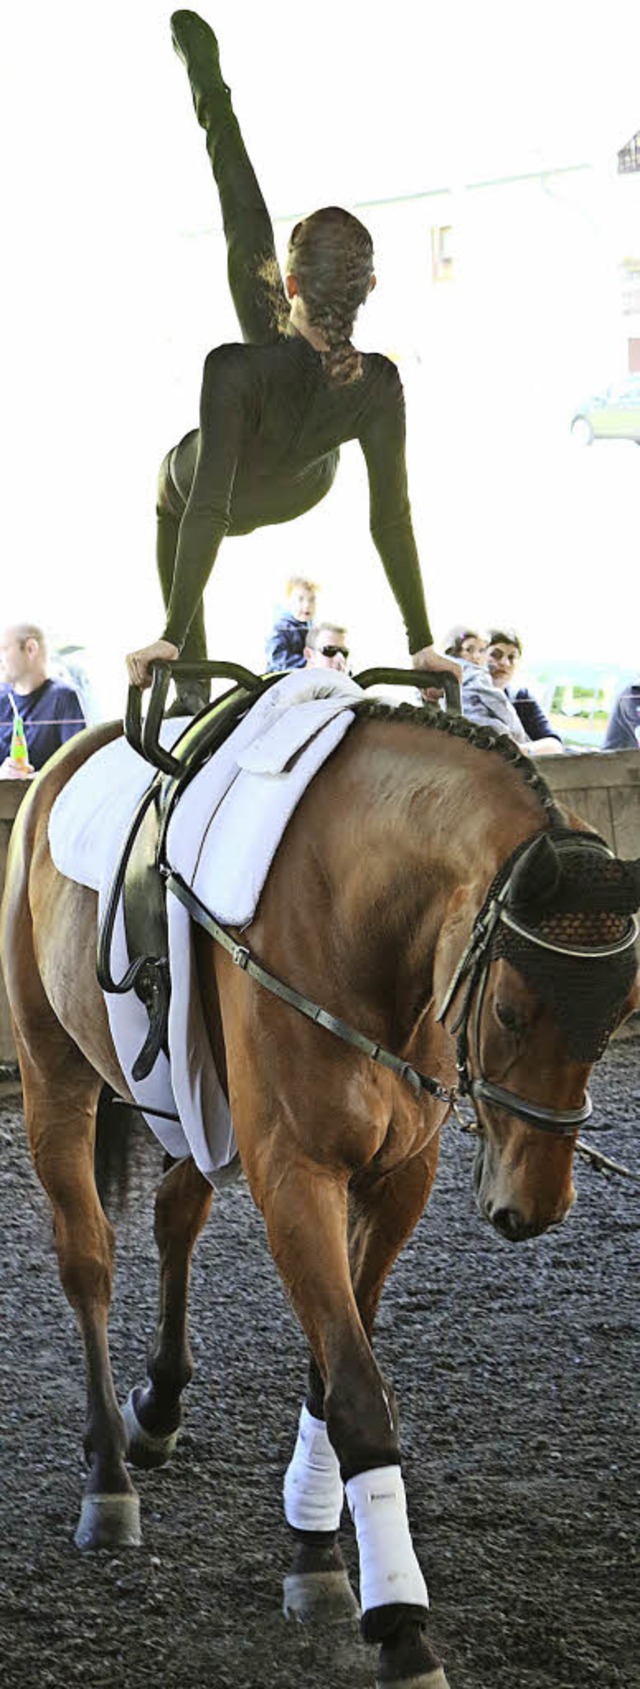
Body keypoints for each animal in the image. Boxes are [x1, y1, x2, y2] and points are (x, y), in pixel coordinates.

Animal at [1, 689, 640, 1689]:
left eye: (621, 1012)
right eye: (508, 1010)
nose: (531, 1208)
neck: (362, 922)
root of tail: (69, 757)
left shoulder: (399, 1174)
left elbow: (333, 1365)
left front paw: (315, 1550)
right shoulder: (296, 1174)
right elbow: (358, 1395)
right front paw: (400, 1621)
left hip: (194, 1103)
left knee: (176, 1214)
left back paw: (159, 1406)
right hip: (51, 1068)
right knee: (87, 1261)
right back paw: (109, 1475)